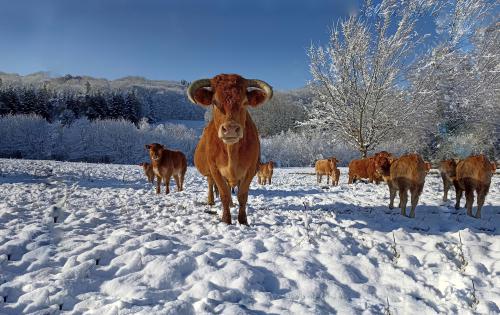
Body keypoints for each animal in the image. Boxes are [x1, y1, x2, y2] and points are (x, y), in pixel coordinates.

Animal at [188, 75, 274, 226]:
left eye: (245, 102)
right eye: (214, 102)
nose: (231, 129)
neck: (231, 152)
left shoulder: (250, 170)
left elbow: (242, 195)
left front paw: (243, 221)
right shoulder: (215, 170)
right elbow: (224, 194)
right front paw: (226, 220)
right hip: (210, 173)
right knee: (211, 184)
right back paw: (211, 201)